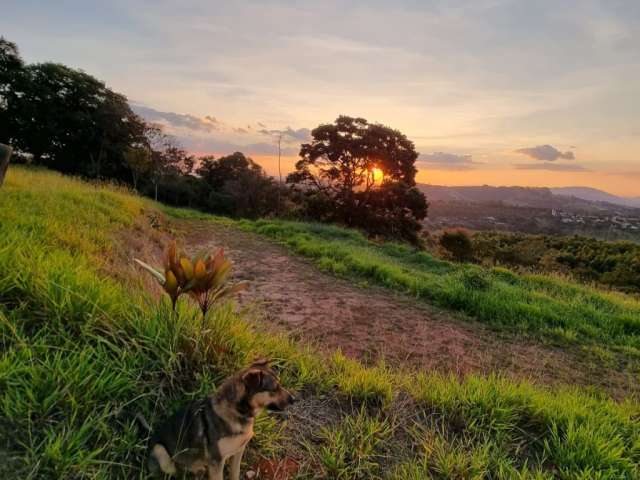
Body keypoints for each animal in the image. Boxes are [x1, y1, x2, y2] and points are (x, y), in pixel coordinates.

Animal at [143, 360, 296, 480]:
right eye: (274, 389)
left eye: (280, 385)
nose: (294, 400)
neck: (238, 411)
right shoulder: (217, 461)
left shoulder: (238, 451)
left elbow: (235, 473)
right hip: (160, 452)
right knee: (177, 472)